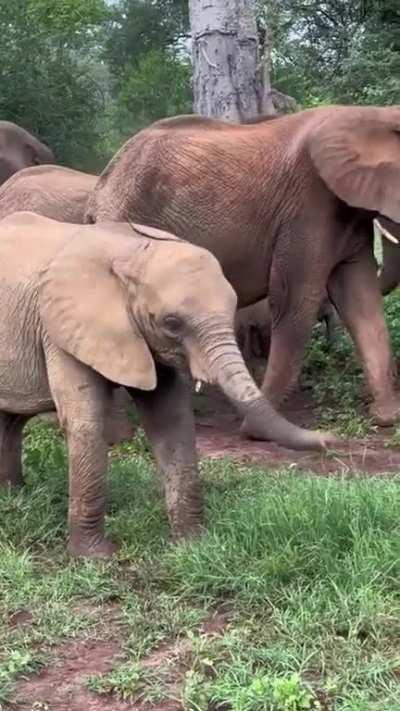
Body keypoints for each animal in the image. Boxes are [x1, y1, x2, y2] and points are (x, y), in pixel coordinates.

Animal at [0, 213, 336, 557]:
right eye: (172, 323)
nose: (331, 439)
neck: (132, 251)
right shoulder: (61, 329)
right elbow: (86, 423)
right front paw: (96, 557)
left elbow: (169, 419)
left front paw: (193, 545)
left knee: (10, 420)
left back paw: (14, 495)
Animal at [86, 105, 400, 436]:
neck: (373, 115)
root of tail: (100, 190)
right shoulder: (306, 209)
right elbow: (294, 301)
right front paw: (257, 429)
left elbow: (360, 299)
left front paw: (387, 417)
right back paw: (121, 434)